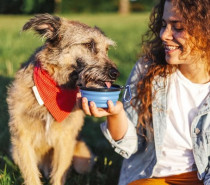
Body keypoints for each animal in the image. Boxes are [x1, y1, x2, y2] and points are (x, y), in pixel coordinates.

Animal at [6, 14, 118, 185]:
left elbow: (59, 173)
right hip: (14, 151)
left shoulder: (65, 140)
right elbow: (31, 174)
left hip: (83, 159)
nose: (115, 73)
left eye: (107, 49)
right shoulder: (22, 139)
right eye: (89, 44)